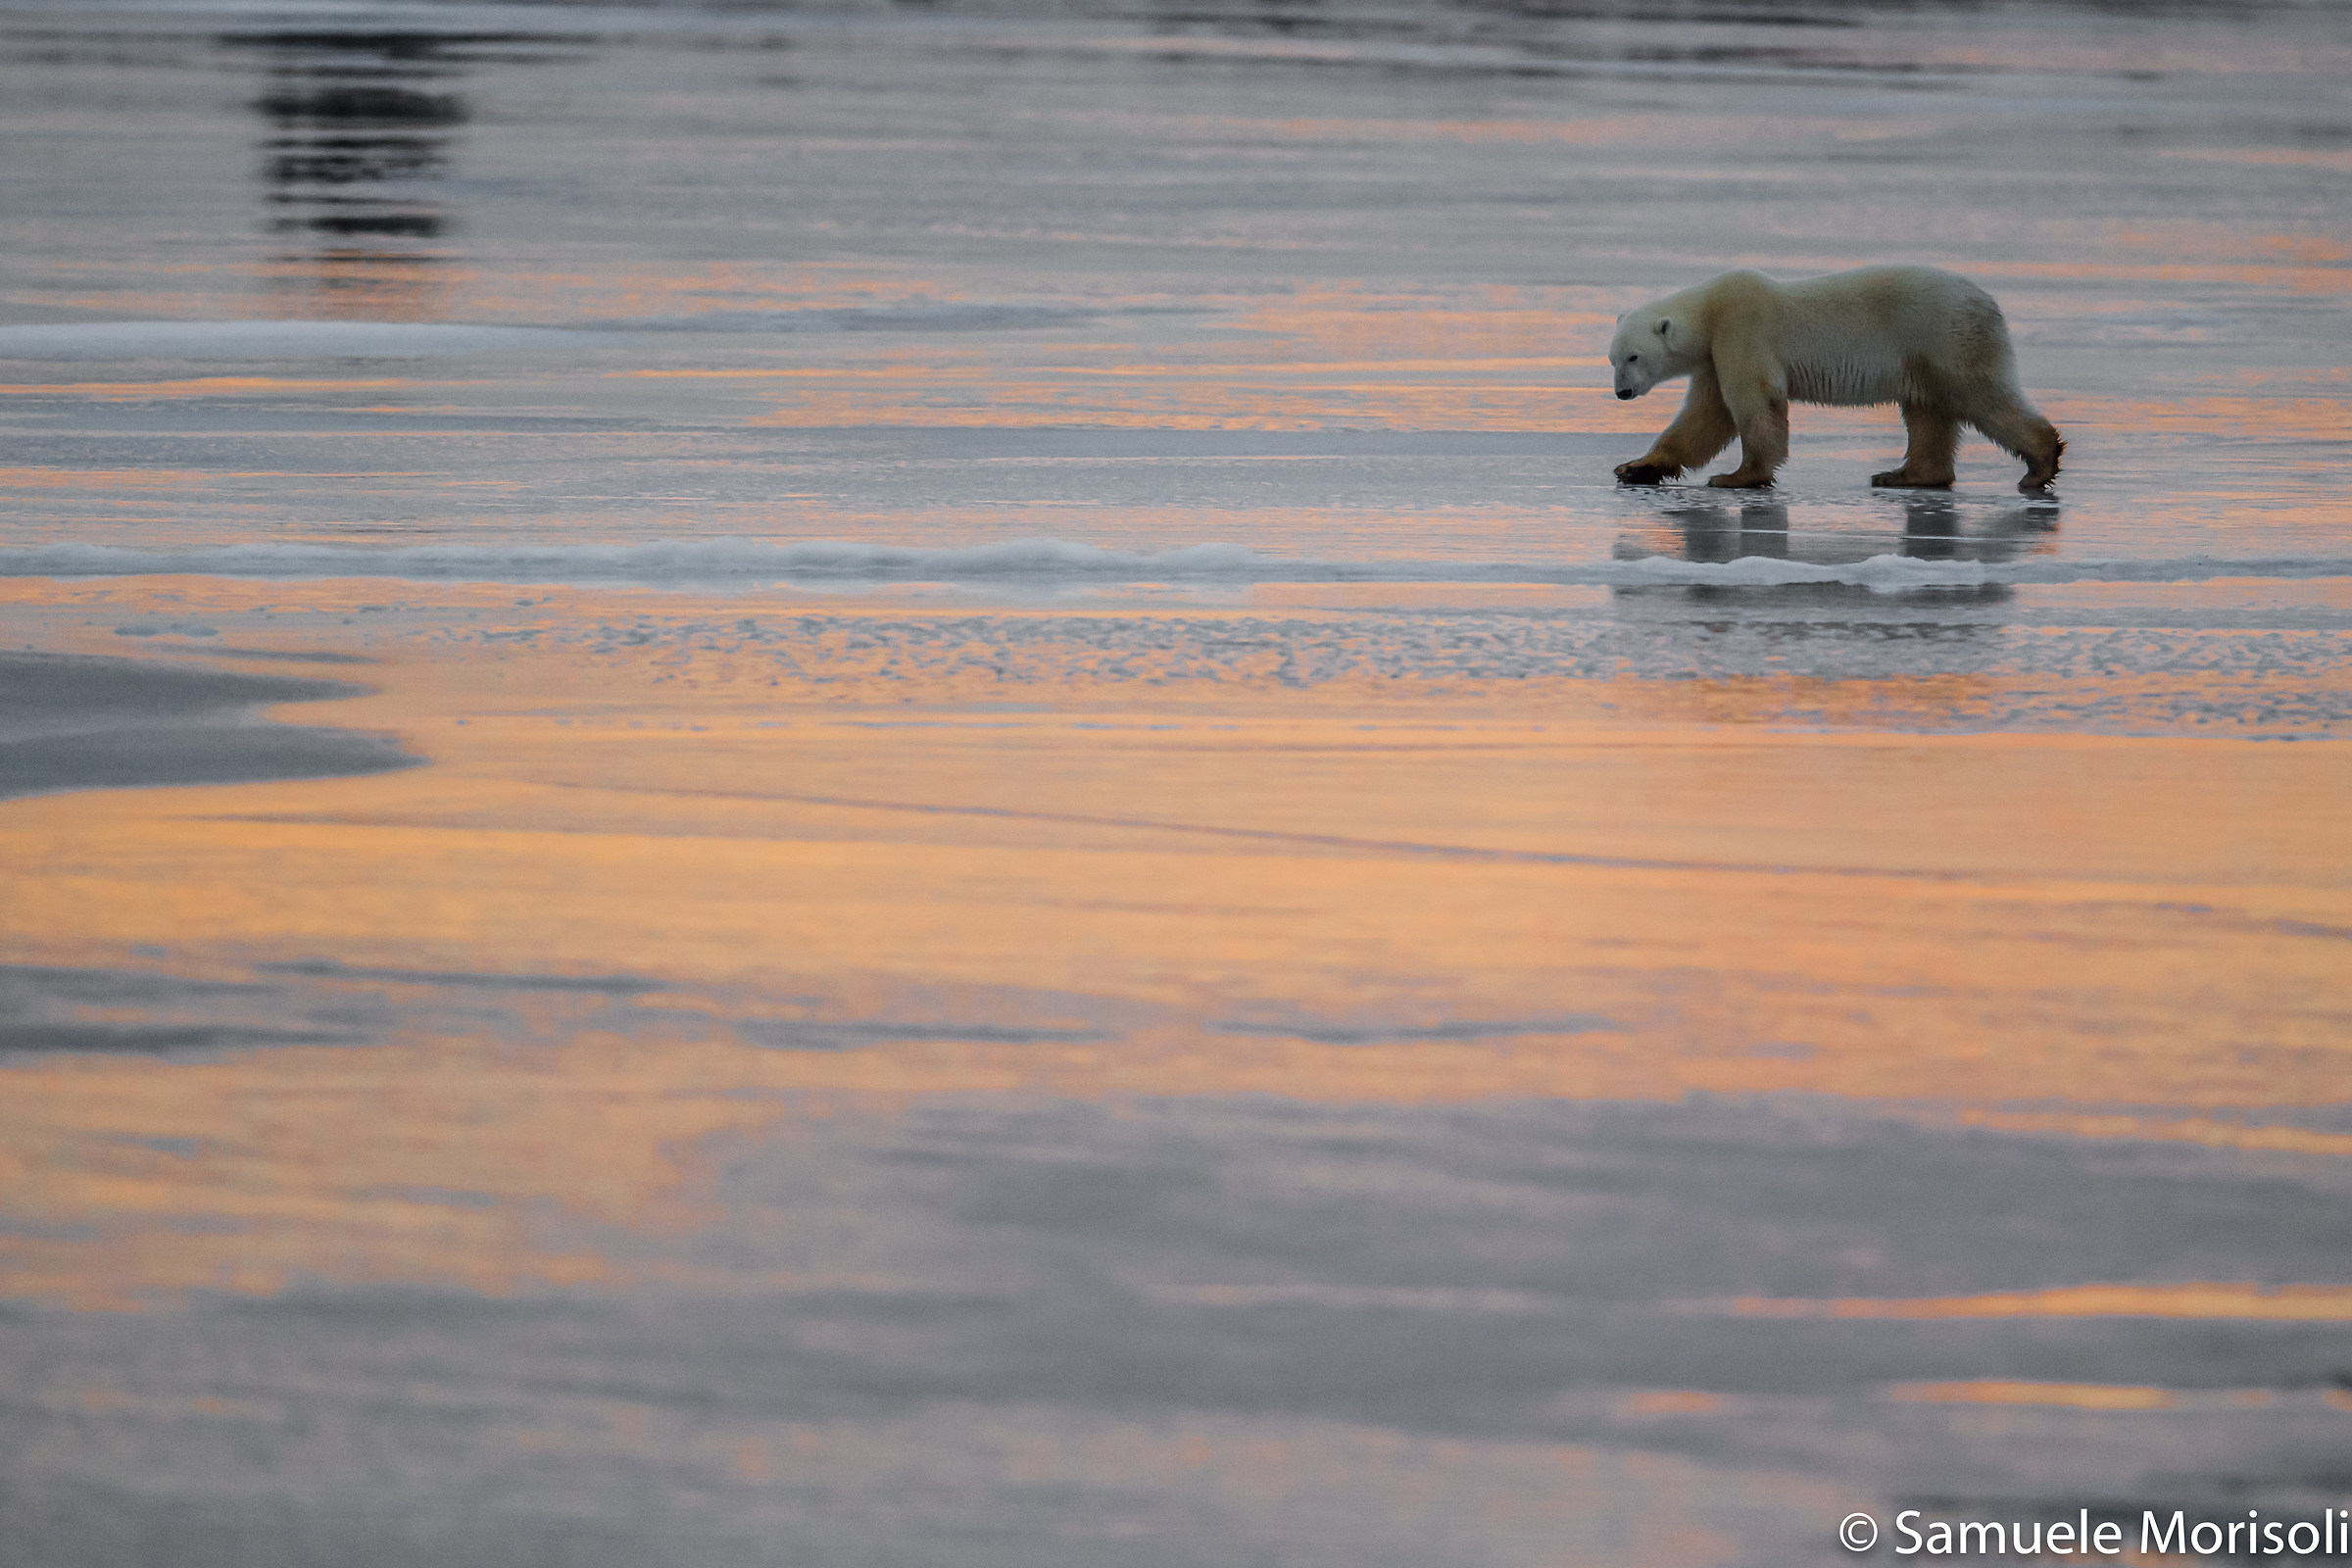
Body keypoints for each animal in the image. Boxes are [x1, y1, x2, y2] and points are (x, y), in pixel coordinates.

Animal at [1607, 265, 2063, 493]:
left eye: (1634, 356)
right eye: (1612, 358)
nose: (1622, 392)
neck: (1710, 310)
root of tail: (1989, 302)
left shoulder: (1743, 331)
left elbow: (1755, 406)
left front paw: (1737, 477)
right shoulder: (1714, 356)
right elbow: (1704, 417)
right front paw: (1635, 467)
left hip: (1943, 337)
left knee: (1982, 396)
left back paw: (2040, 465)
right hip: (1922, 356)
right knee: (1927, 411)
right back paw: (1902, 475)